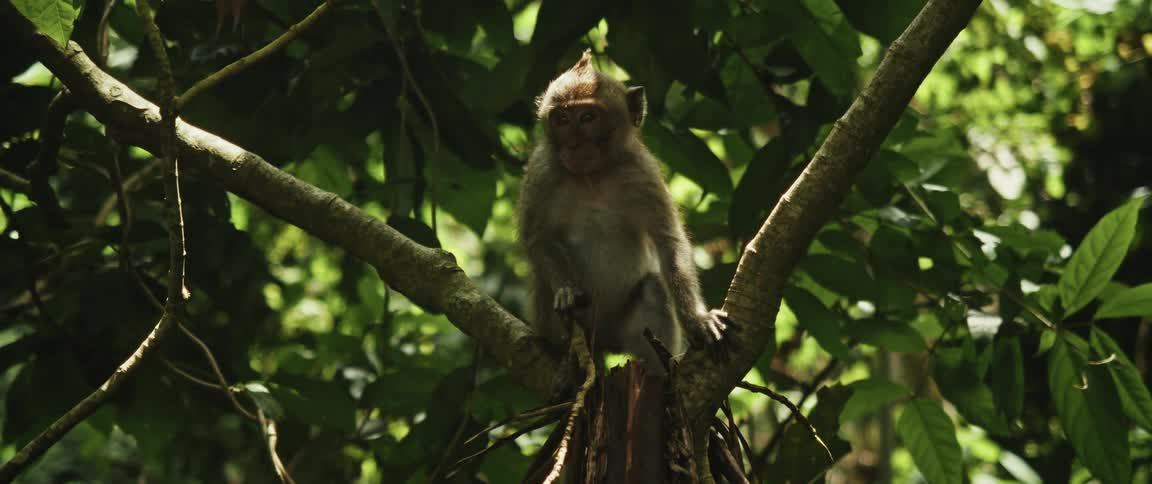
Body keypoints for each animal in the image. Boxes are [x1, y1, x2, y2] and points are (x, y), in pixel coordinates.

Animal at [517, 50, 729, 374]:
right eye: (562, 120)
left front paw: (697, 320)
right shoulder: (542, 173)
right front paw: (566, 292)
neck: (592, 177)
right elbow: (537, 238)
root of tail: (603, 342)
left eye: (588, 117)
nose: (574, 144)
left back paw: (659, 374)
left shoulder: (641, 172)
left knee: (653, 290)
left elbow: (669, 241)